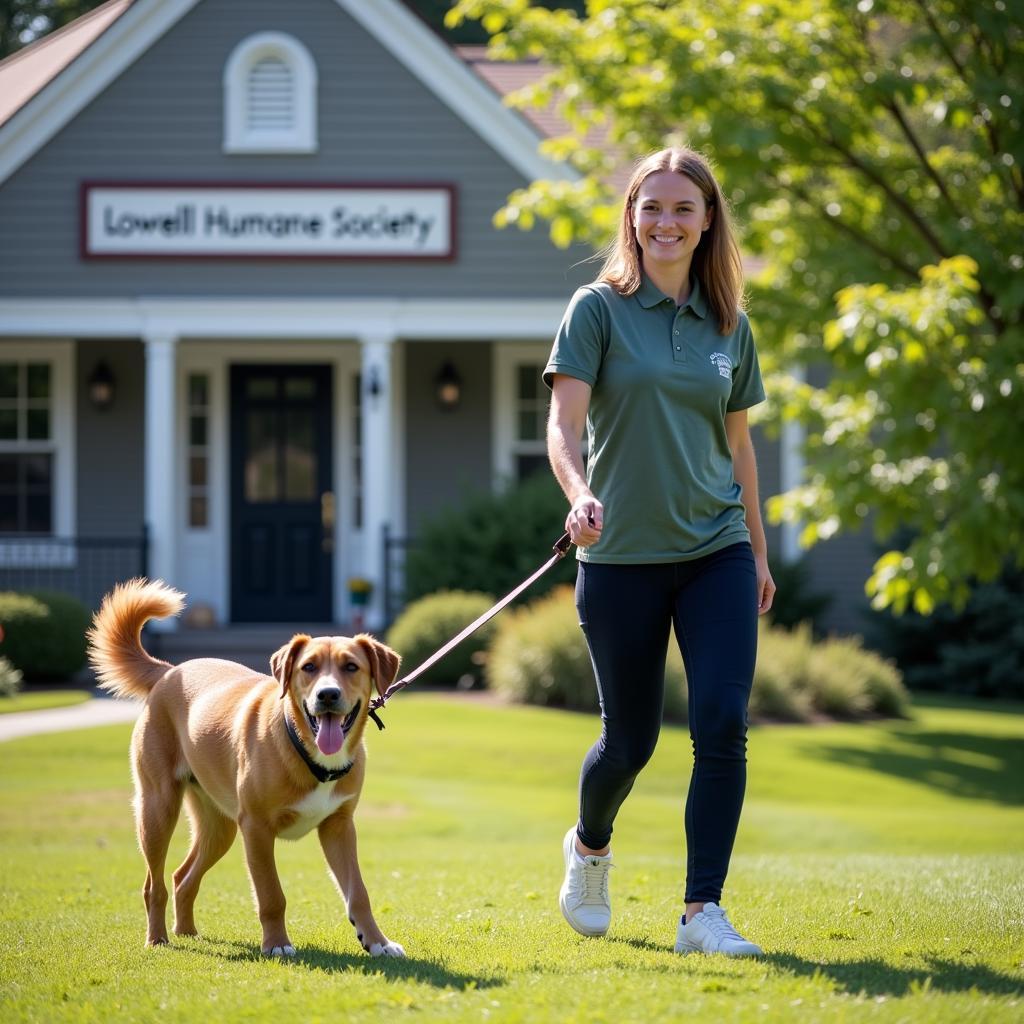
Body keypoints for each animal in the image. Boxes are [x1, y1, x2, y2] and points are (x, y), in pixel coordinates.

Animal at [89, 581, 403, 954]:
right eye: (309, 667)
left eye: (351, 667)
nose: (327, 695)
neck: (308, 753)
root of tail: (168, 671)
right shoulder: (256, 828)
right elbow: (271, 895)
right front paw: (277, 944)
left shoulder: (338, 827)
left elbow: (359, 893)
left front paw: (378, 941)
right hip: (157, 808)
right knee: (154, 884)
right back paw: (158, 938)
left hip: (219, 827)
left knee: (182, 876)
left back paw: (187, 931)